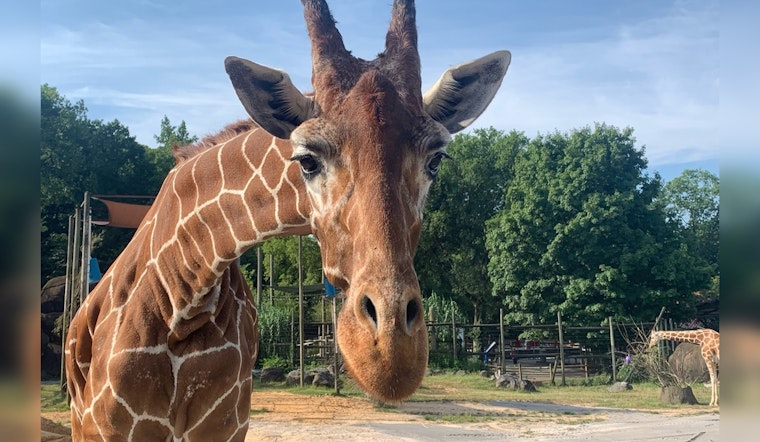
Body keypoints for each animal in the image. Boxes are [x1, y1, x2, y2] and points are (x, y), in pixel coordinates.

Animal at [64, 1, 510, 440]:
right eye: (307, 160)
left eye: (436, 159)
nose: (390, 354)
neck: (184, 294)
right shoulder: (106, 428)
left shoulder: (226, 426)